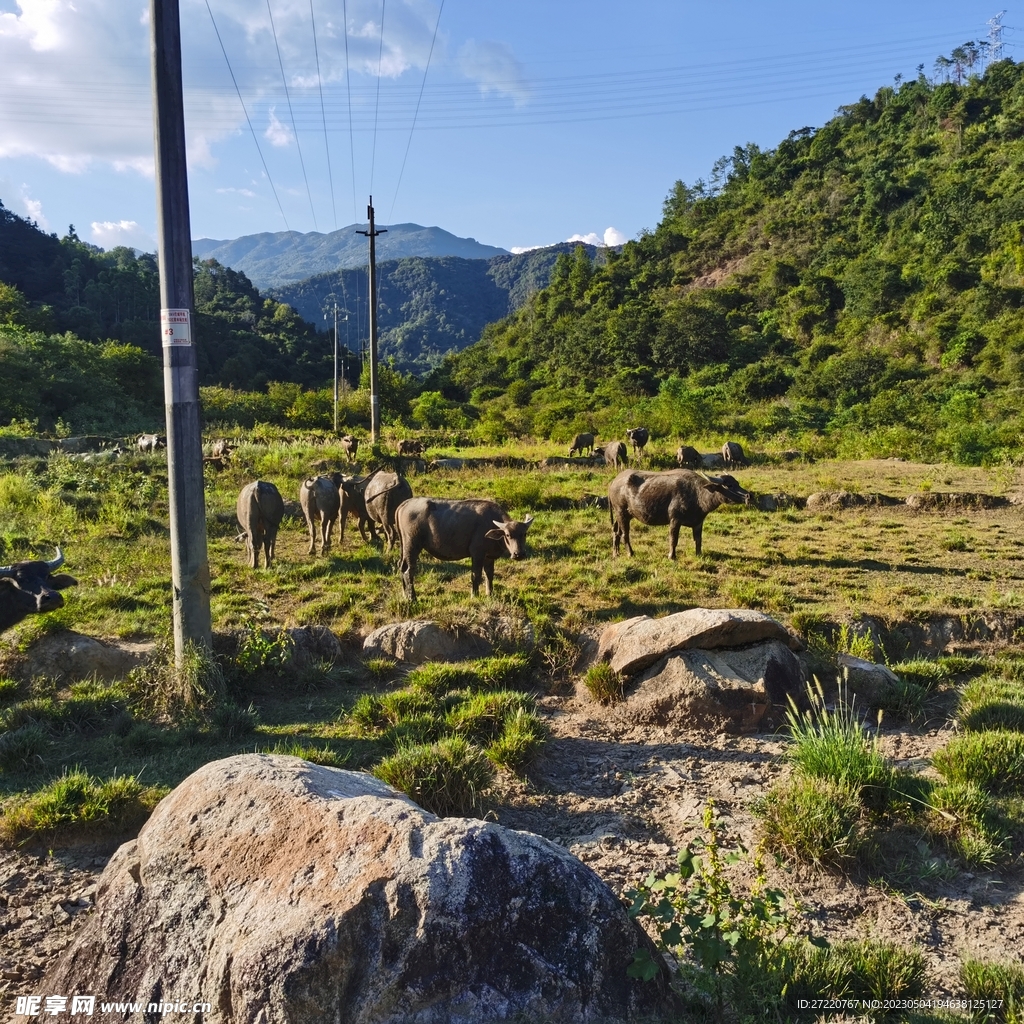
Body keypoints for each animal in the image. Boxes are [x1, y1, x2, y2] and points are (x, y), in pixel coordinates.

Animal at [393, 495, 532, 598]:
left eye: (524, 534)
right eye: (508, 535)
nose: (519, 554)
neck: (490, 523)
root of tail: (405, 503)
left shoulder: (488, 557)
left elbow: (489, 574)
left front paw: (490, 594)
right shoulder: (477, 554)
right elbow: (476, 575)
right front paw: (474, 595)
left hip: (404, 547)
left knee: (402, 566)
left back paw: (405, 595)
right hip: (412, 545)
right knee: (409, 570)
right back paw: (412, 598)